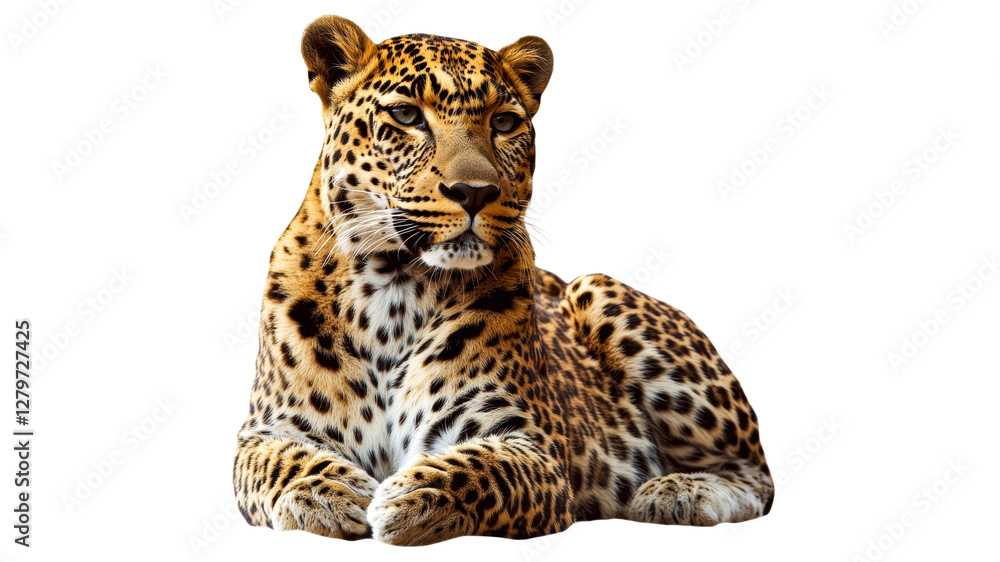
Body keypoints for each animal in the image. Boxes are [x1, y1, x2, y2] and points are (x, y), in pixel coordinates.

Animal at [232, 15, 774, 546]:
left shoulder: (534, 446)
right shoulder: (264, 431)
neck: (392, 287)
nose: (474, 192)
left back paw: (680, 491)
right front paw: (328, 492)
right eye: (406, 116)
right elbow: (279, 462)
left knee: (757, 476)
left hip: (598, 291)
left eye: (504, 122)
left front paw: (410, 496)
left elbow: (483, 469)